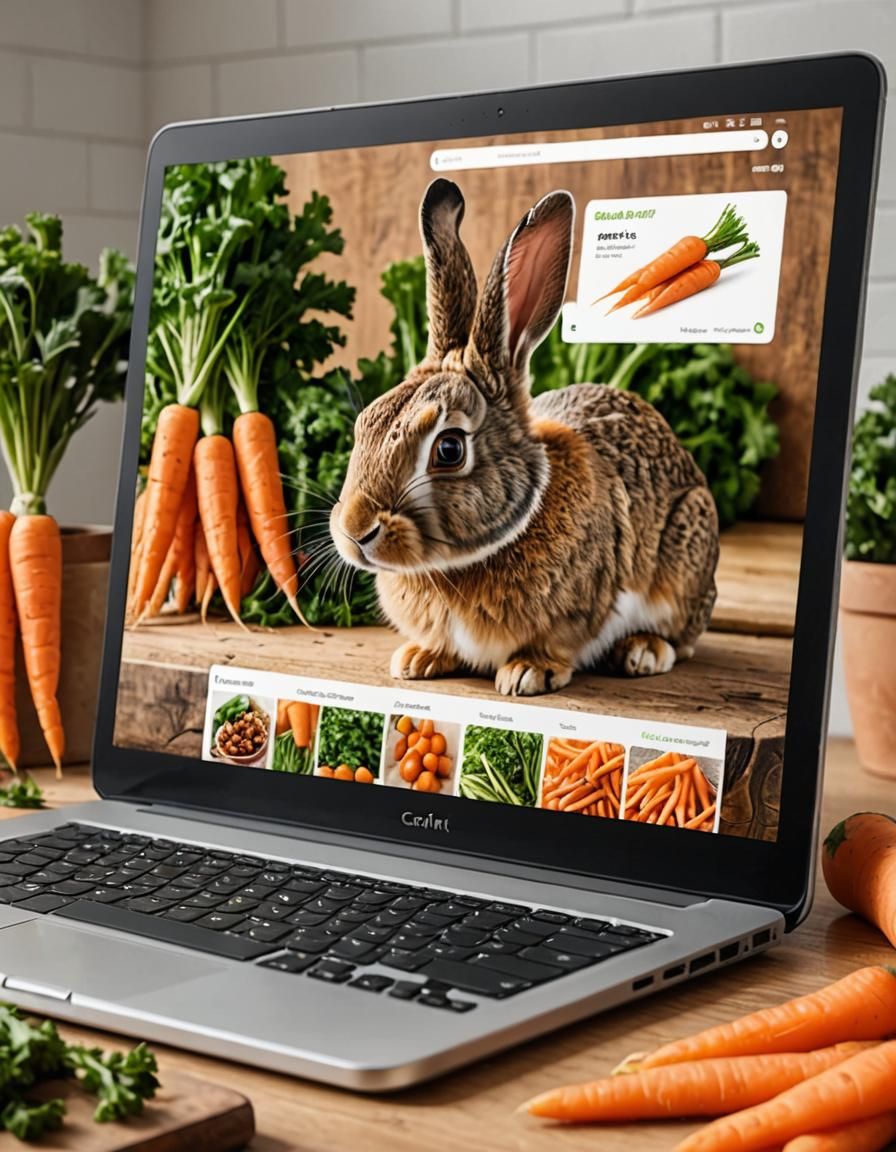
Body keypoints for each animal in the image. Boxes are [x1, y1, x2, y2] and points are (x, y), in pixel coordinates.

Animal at [330, 178, 719, 697]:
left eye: (449, 449)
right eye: (365, 424)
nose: (355, 531)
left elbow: (558, 643)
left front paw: (527, 673)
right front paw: (418, 659)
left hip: (688, 547)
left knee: (682, 636)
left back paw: (643, 651)